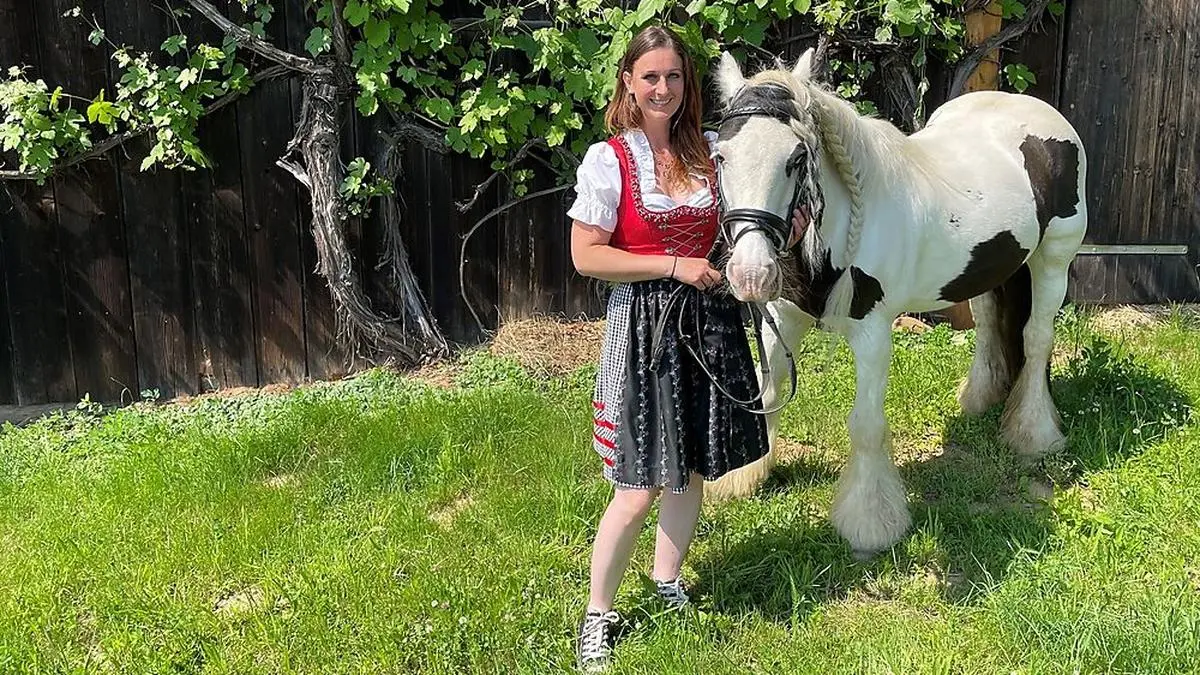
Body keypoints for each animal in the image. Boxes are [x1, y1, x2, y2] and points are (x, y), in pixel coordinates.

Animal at [704, 50, 1087, 559]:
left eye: (796, 158)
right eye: (721, 156)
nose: (751, 274)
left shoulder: (873, 334)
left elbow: (866, 425)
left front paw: (870, 522)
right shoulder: (782, 319)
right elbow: (767, 396)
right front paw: (742, 478)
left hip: (1053, 259)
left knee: (1037, 338)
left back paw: (1032, 433)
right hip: (986, 268)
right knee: (989, 325)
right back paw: (978, 399)